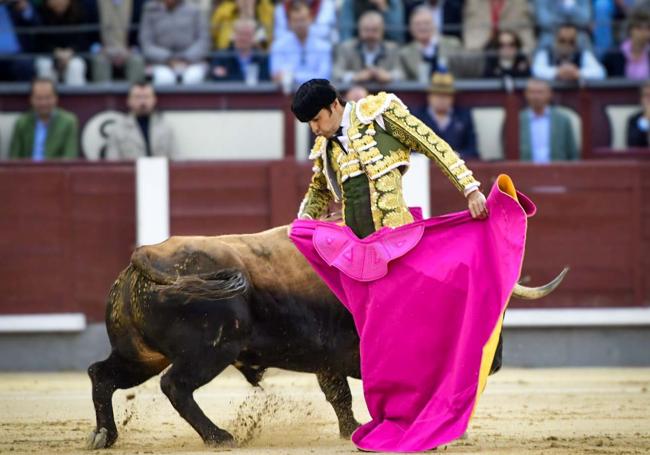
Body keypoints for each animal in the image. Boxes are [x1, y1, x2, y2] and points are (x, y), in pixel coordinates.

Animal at [87, 225, 560, 448]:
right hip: (208, 351)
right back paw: (220, 436)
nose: (495, 362)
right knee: (176, 386)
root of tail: (149, 255)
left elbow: (340, 395)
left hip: (140, 354)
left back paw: (103, 437)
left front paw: (353, 431)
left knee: (101, 375)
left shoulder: (327, 359)